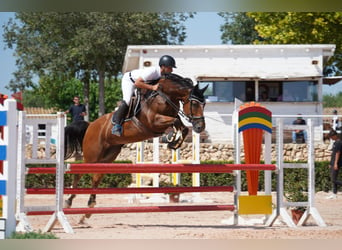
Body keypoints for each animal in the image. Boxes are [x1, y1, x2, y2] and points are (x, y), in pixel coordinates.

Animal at [64, 73, 208, 224]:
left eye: (204, 104)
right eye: (194, 103)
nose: (200, 127)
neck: (166, 96)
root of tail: (90, 125)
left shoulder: (172, 117)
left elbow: (182, 127)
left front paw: (174, 142)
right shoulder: (154, 121)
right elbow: (174, 122)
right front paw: (170, 138)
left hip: (107, 157)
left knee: (96, 177)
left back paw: (87, 210)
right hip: (92, 156)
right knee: (79, 173)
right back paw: (68, 202)